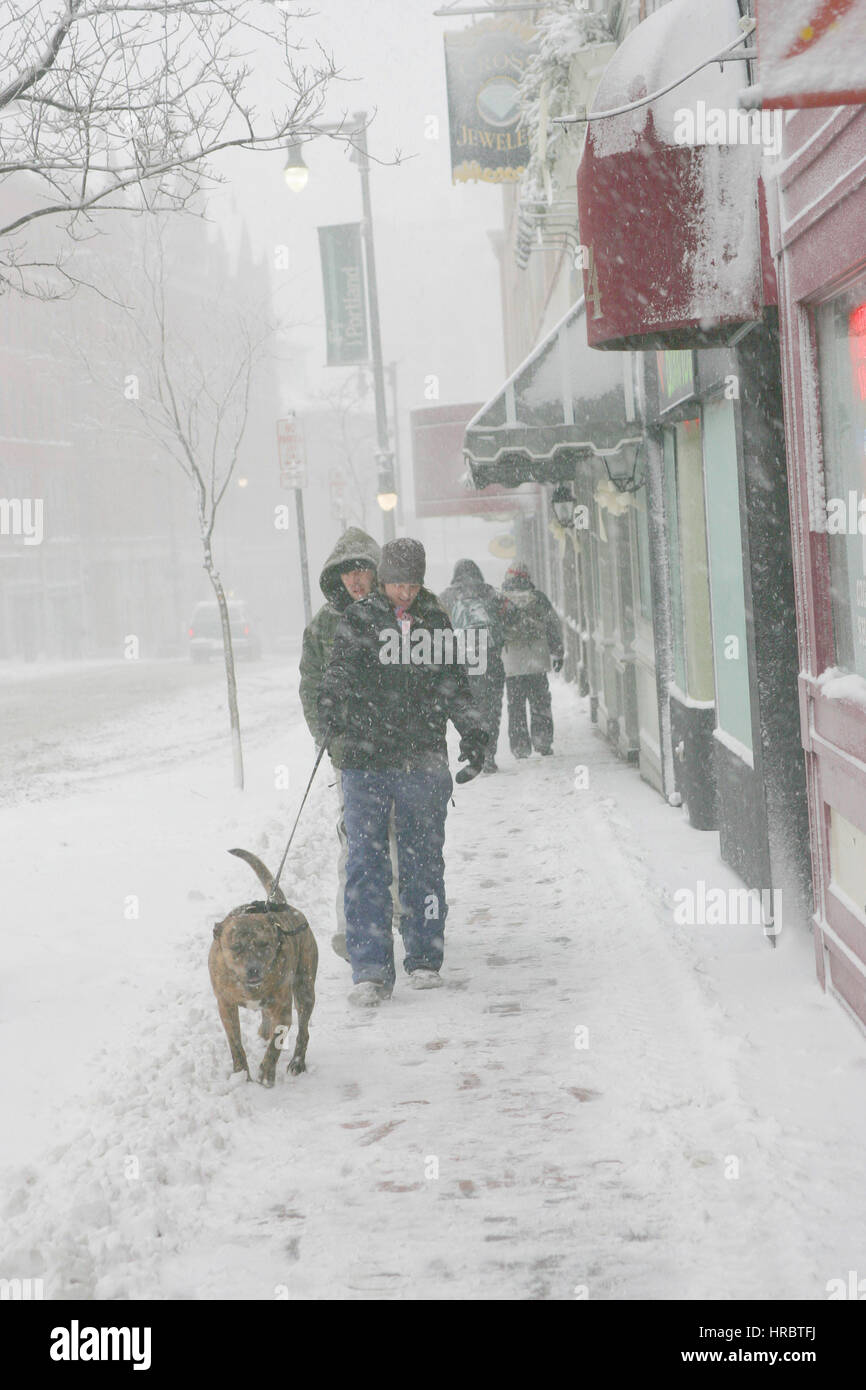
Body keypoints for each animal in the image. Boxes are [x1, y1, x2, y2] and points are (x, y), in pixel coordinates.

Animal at [209, 845, 318, 1084]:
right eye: (236, 947)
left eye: (264, 943)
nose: (253, 968)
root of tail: (283, 905)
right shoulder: (226, 1005)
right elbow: (235, 1043)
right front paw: (241, 1073)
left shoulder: (283, 1008)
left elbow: (277, 1042)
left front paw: (267, 1073)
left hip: (304, 988)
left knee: (303, 1031)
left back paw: (297, 1062)